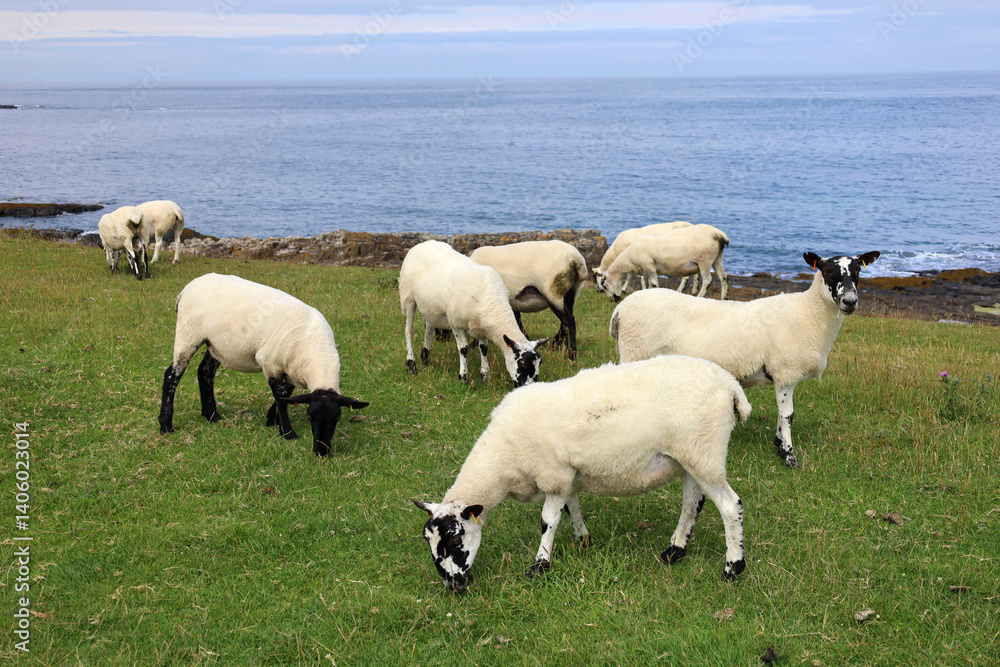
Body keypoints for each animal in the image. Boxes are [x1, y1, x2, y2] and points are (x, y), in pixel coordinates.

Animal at [157, 273, 369, 457]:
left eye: (337, 417)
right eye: (309, 416)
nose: (321, 451)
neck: (316, 353)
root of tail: (186, 289)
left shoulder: (291, 370)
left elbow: (286, 395)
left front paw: (271, 418)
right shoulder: (270, 363)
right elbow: (281, 397)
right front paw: (287, 433)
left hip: (216, 344)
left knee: (205, 373)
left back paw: (211, 415)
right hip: (188, 333)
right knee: (172, 375)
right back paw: (166, 425)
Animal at [399, 240, 546, 387]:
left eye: (540, 364)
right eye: (522, 365)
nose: (531, 388)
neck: (492, 302)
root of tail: (423, 243)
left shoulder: (482, 327)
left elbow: (484, 348)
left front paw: (485, 375)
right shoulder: (455, 323)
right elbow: (463, 348)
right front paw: (464, 376)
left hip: (430, 306)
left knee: (429, 329)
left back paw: (425, 356)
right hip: (408, 298)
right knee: (409, 331)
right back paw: (411, 364)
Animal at [413, 354, 751, 592]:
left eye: (454, 540)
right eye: (429, 543)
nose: (452, 586)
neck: (502, 458)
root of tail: (730, 384)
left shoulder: (552, 474)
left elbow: (547, 521)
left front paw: (540, 565)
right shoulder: (567, 476)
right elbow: (570, 507)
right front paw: (582, 539)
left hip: (705, 453)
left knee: (729, 506)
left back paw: (733, 567)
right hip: (689, 456)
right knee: (692, 504)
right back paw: (674, 551)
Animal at [594, 224, 730, 301]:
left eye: (604, 285)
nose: (612, 299)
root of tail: (720, 235)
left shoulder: (649, 266)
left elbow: (651, 283)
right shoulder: (647, 269)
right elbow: (648, 282)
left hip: (705, 260)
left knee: (707, 281)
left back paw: (699, 296)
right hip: (716, 258)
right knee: (723, 276)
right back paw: (724, 298)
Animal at [610, 251, 880, 468]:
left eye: (858, 270)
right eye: (826, 271)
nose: (850, 302)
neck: (808, 314)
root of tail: (620, 310)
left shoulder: (784, 376)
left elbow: (785, 415)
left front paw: (779, 442)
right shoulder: (785, 372)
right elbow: (788, 415)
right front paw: (788, 455)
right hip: (635, 349)